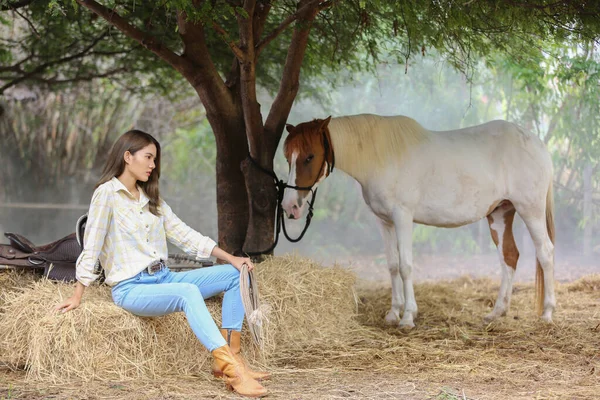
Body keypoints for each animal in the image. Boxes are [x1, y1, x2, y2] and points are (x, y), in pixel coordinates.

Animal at [280, 113, 552, 328]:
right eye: (287, 157)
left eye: (310, 156)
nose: (289, 207)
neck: (381, 155)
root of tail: (538, 144)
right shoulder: (384, 222)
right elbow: (392, 266)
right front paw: (393, 313)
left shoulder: (402, 218)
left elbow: (405, 267)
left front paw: (408, 317)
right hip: (500, 213)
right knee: (509, 256)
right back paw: (497, 312)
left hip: (530, 210)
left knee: (545, 253)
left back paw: (547, 313)